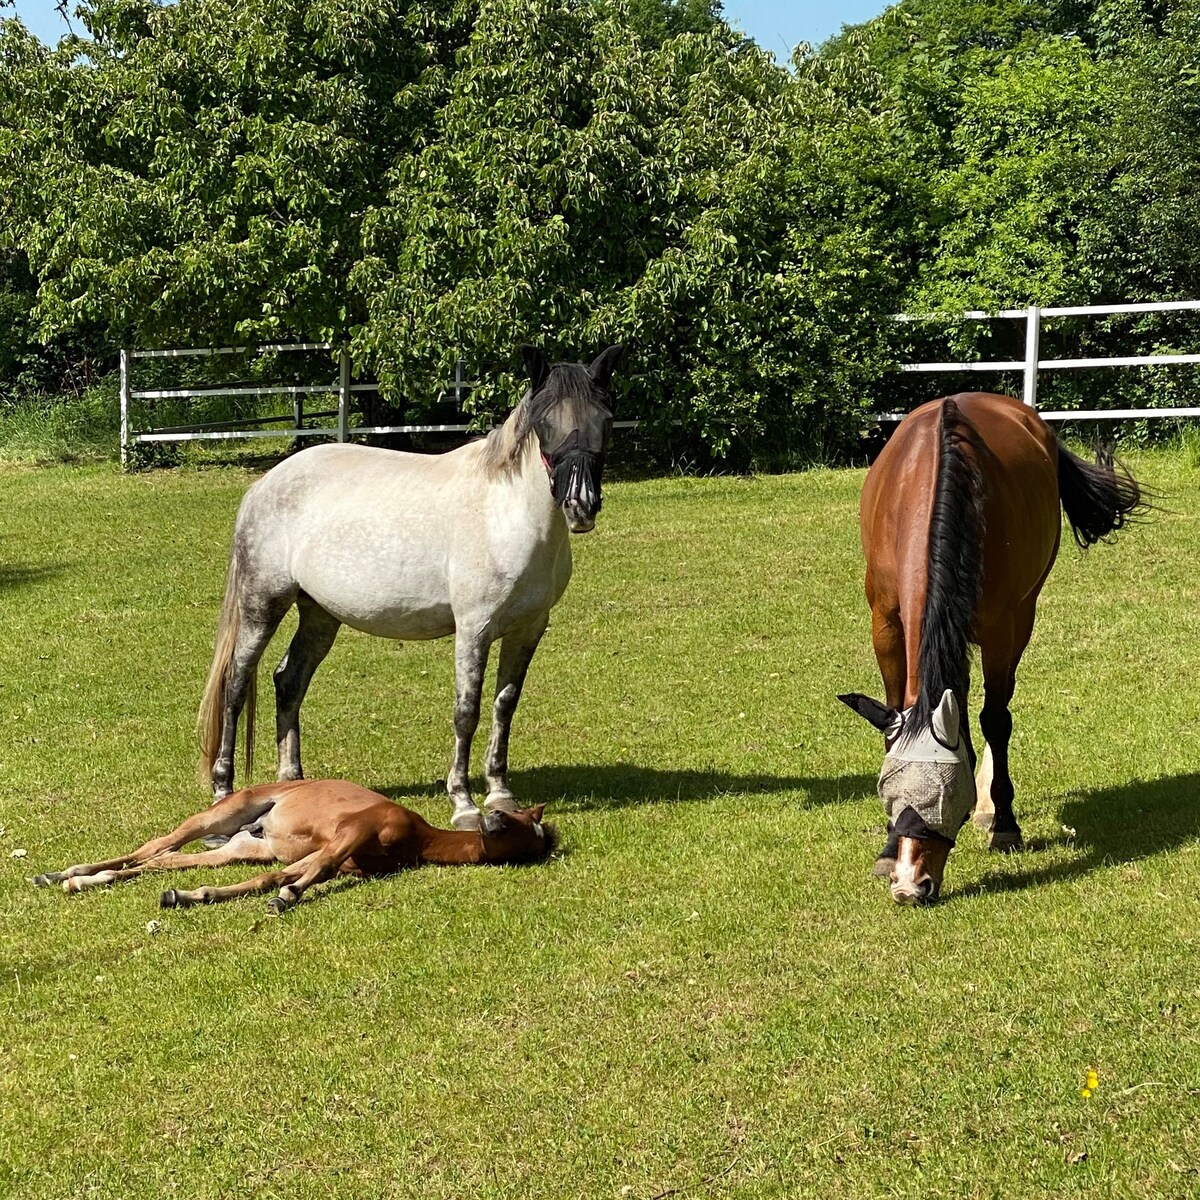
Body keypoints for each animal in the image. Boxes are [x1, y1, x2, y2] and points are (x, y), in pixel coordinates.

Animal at [32, 772, 554, 912]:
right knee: (155, 845)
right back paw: (65, 874)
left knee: (165, 860)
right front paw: (289, 898)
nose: (490, 818)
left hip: (242, 845)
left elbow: (273, 877)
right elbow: (311, 873)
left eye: (521, 827)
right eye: (513, 815)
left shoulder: (341, 855)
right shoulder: (351, 831)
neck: (417, 839)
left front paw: (193, 898)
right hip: (221, 815)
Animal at [194, 348, 628, 830]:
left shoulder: (528, 629)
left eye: (606, 418)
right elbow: (467, 711)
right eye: (545, 421)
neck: (503, 514)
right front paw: (464, 804)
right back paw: (222, 790)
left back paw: (294, 784)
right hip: (262, 605)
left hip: (320, 615)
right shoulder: (474, 630)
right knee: (236, 683)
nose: (581, 504)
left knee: (289, 680)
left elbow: (505, 705)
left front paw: (500, 794)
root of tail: (263, 485)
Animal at [840, 391, 1137, 902]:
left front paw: (1004, 822)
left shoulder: (1002, 626)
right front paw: (886, 850)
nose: (910, 885)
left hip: (1023, 613)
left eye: (946, 799)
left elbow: (994, 719)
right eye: (888, 792)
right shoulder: (885, 620)